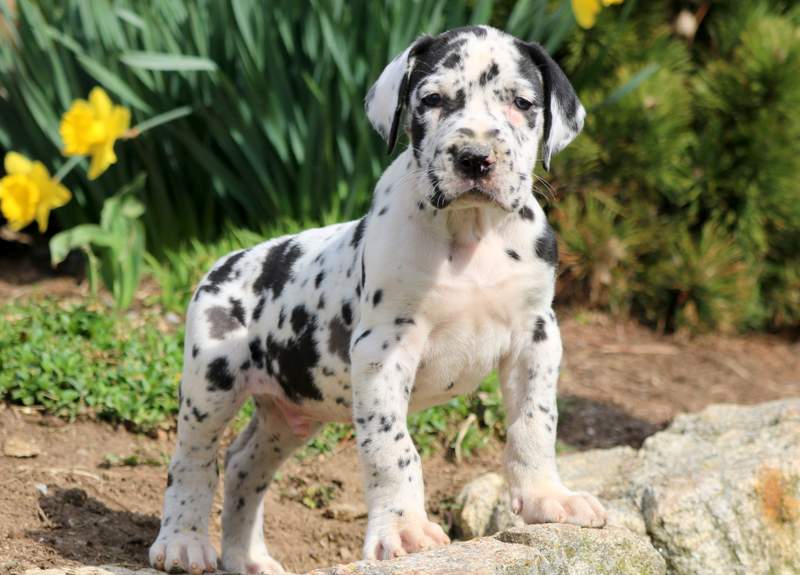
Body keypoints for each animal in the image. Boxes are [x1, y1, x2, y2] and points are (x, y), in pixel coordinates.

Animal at [148, 24, 608, 575]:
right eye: (431, 100)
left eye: (522, 102)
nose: (475, 158)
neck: (471, 234)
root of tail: (224, 263)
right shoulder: (383, 348)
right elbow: (393, 448)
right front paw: (405, 530)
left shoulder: (535, 337)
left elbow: (534, 424)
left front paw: (547, 499)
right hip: (210, 384)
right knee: (193, 462)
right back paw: (182, 542)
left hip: (289, 416)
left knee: (243, 466)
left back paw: (249, 558)